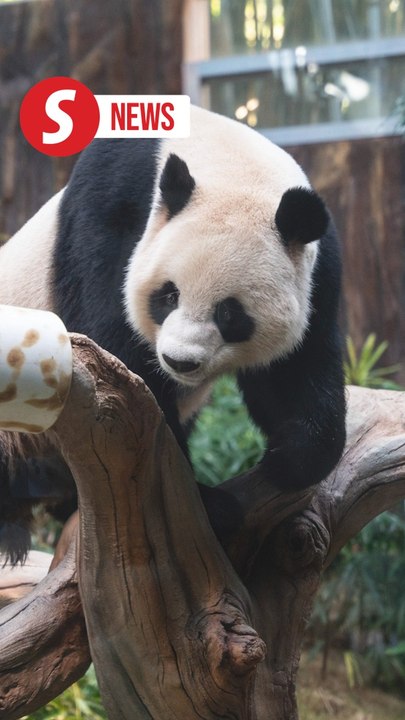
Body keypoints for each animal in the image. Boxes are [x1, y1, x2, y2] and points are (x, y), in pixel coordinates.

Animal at [0, 105, 346, 562]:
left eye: (230, 314)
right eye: (168, 295)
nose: (179, 361)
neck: (227, 164)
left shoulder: (317, 267)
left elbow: (297, 364)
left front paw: (290, 455)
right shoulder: (113, 207)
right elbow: (115, 348)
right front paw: (205, 503)